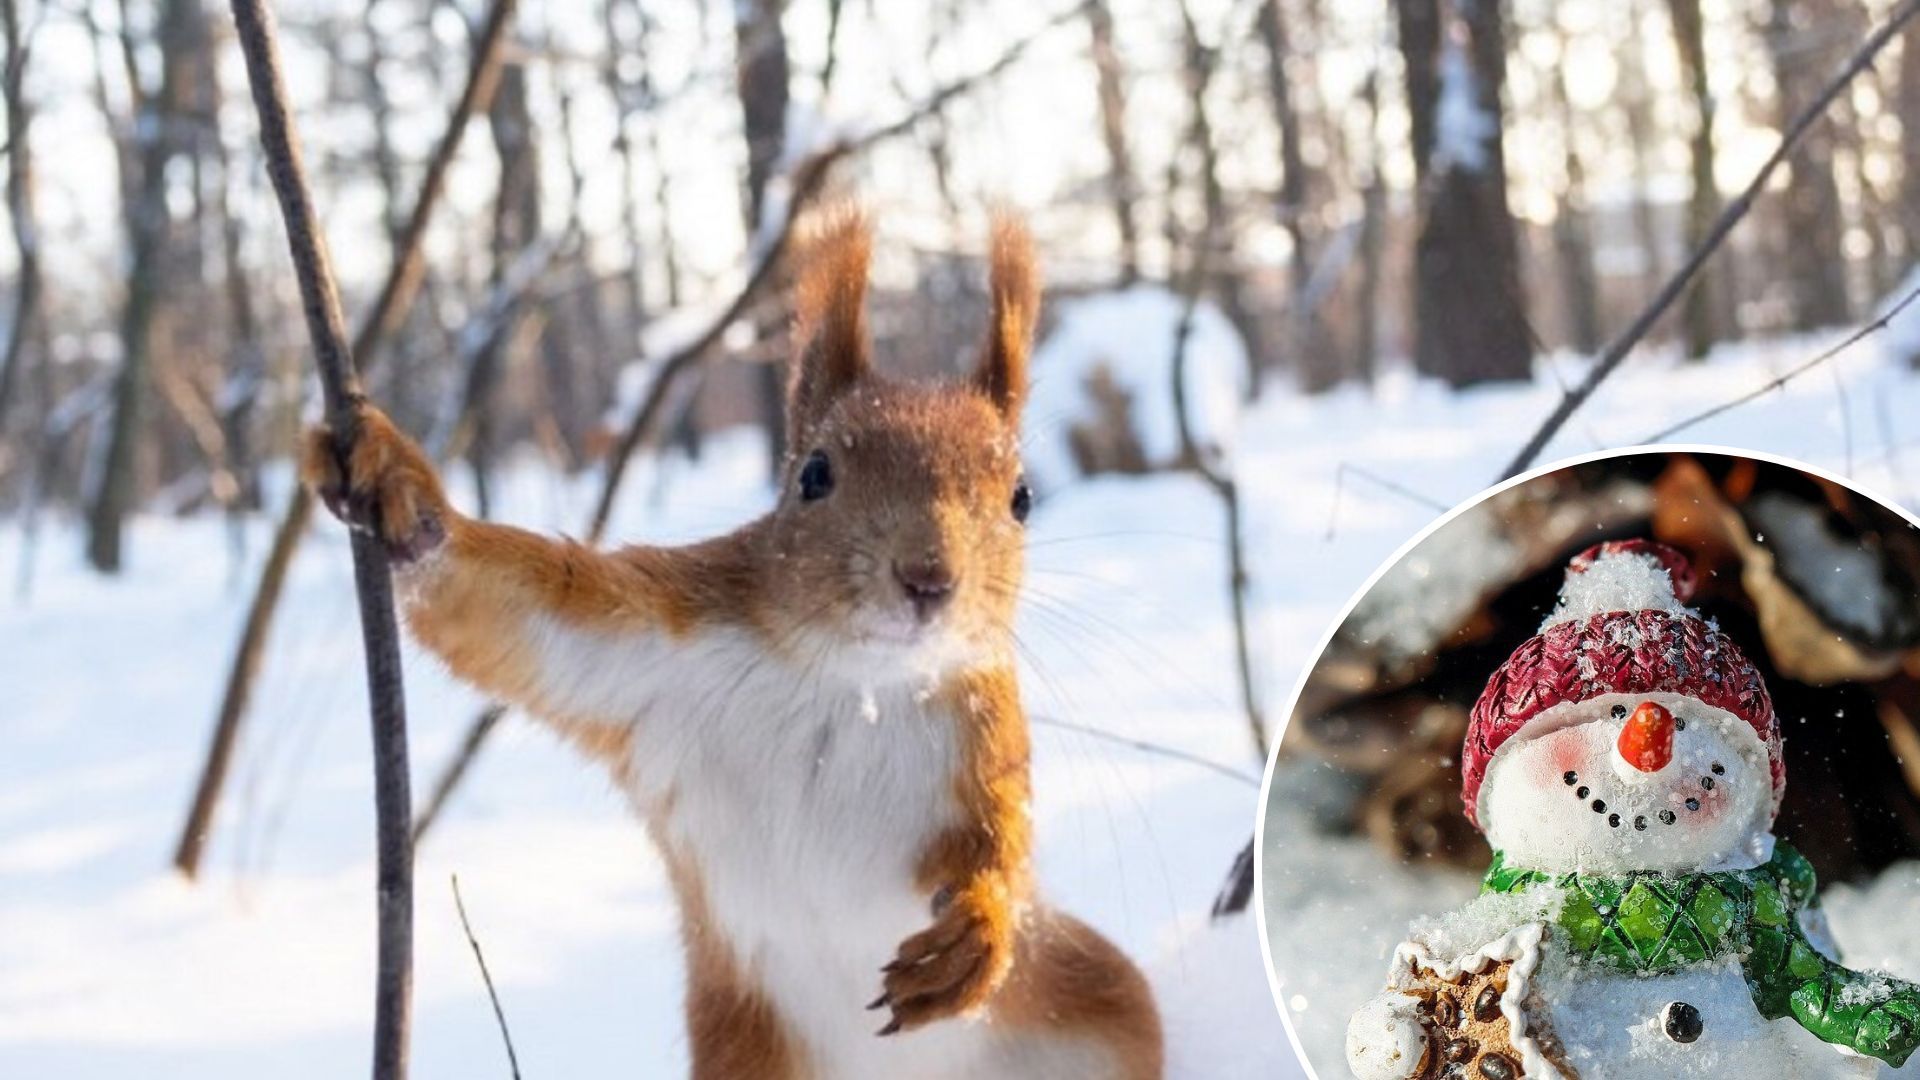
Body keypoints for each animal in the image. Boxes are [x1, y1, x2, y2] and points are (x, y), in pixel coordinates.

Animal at [307, 212, 1159, 1076]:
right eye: (813, 474)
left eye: (1022, 498)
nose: (927, 578)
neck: (855, 680)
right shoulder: (653, 640)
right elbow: (502, 609)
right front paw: (398, 490)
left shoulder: (987, 737)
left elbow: (1002, 844)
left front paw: (976, 935)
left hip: (1100, 1012)